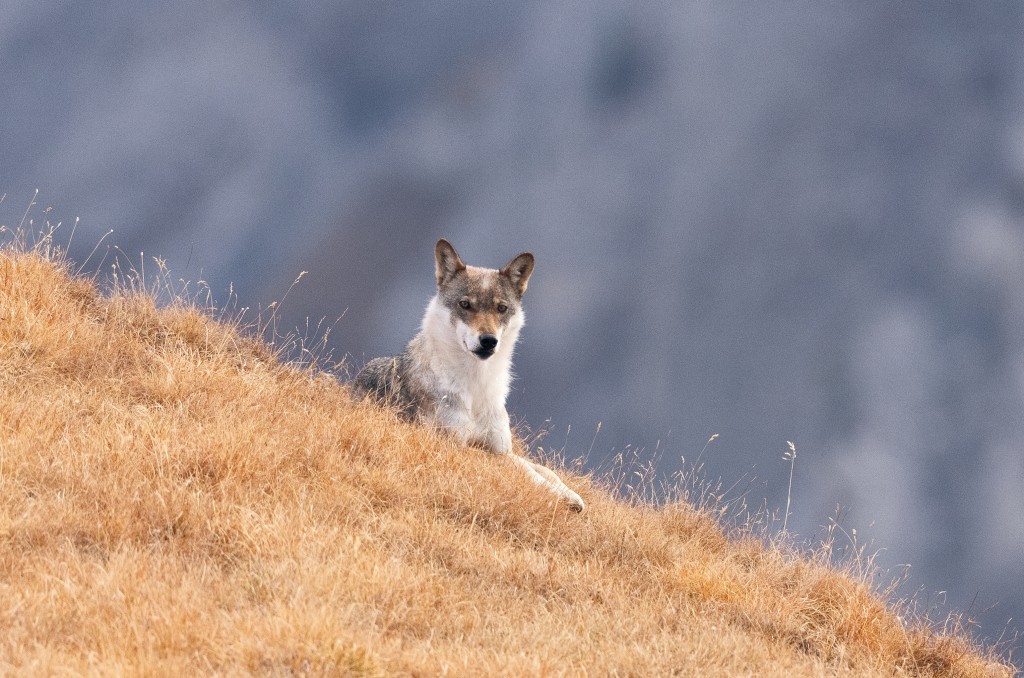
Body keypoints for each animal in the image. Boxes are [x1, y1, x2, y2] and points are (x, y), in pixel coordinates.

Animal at [354, 239, 585, 512]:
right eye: (465, 304)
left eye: (501, 308)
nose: (488, 341)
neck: (476, 388)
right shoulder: (455, 446)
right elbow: (521, 469)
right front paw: (559, 496)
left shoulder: (500, 447)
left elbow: (541, 469)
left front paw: (570, 494)